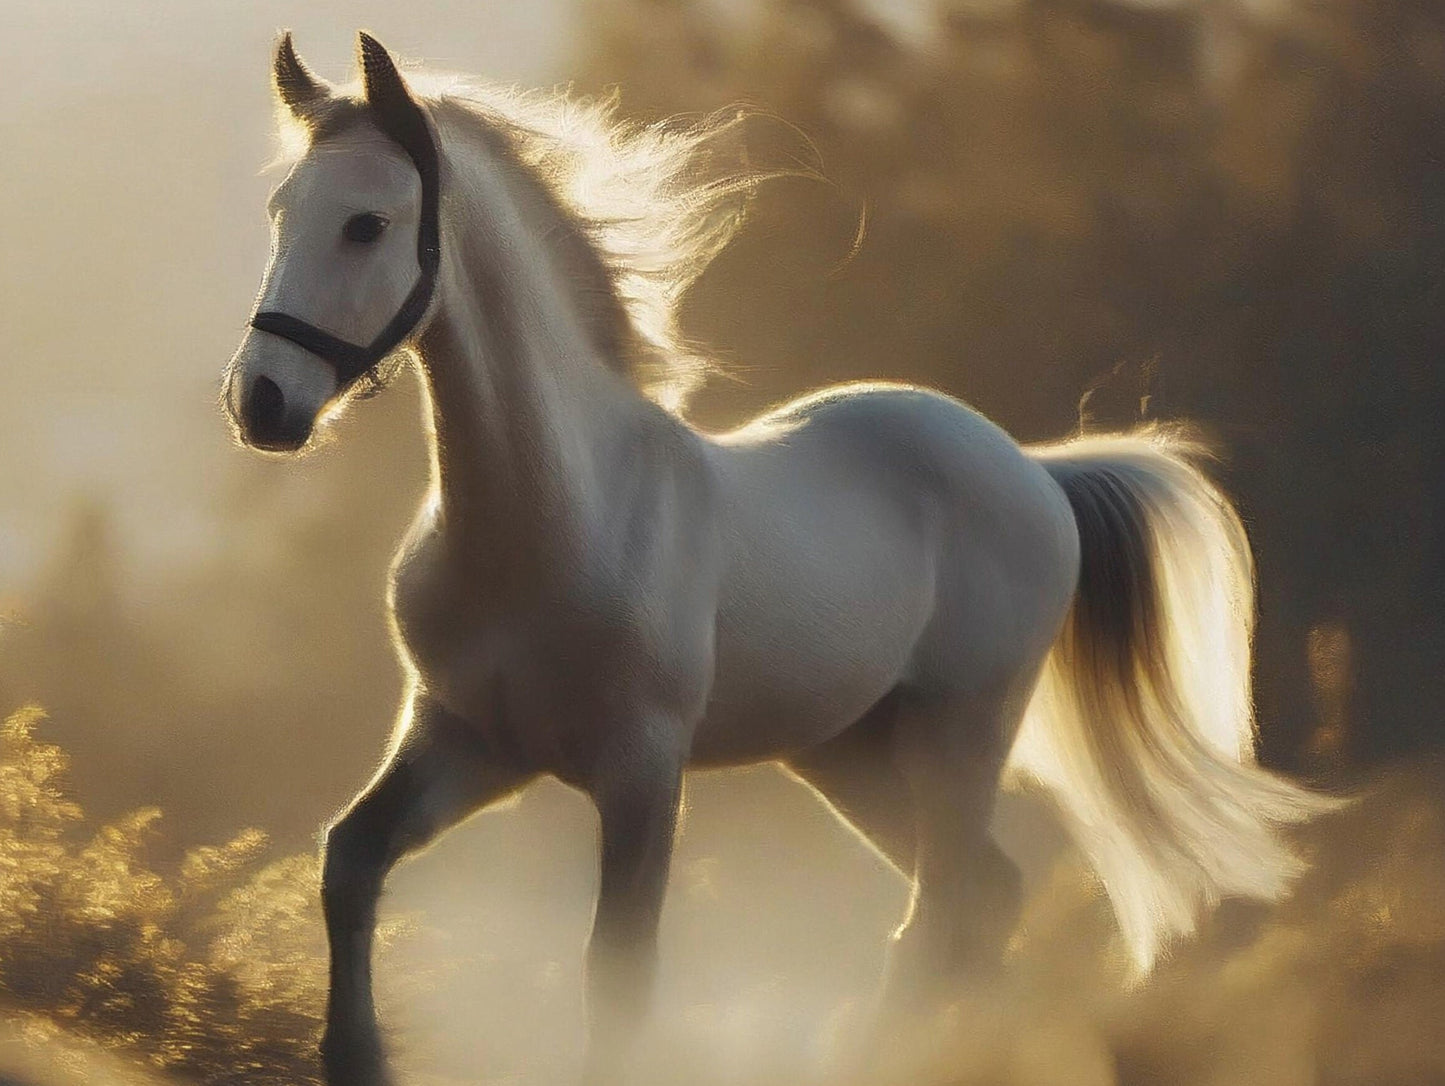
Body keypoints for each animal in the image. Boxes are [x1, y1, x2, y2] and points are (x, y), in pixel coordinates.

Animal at [222, 32, 1335, 1085]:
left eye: (366, 223)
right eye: (278, 209)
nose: (262, 404)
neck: (554, 525)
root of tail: (1033, 470)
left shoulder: (640, 771)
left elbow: (618, 978)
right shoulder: (466, 740)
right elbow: (349, 862)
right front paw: (355, 1057)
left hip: (960, 735)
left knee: (939, 915)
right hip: (848, 755)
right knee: (979, 900)